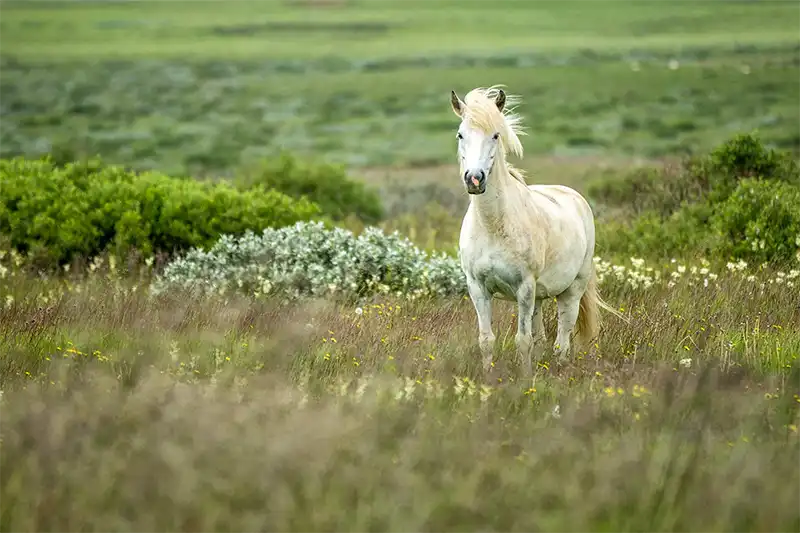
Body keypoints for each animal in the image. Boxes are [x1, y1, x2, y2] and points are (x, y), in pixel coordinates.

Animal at [450, 85, 621, 376]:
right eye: (461, 134)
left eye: (496, 134)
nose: (474, 179)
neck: (494, 225)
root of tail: (575, 197)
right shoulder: (478, 288)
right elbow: (487, 340)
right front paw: (488, 379)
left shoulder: (524, 288)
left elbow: (523, 341)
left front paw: (525, 381)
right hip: (539, 298)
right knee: (542, 338)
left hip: (570, 291)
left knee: (562, 341)